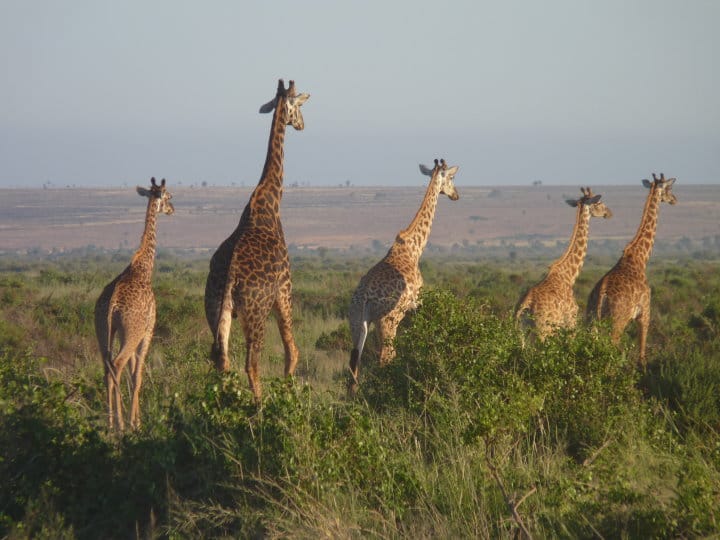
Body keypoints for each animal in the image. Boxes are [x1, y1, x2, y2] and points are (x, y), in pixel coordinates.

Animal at [94, 178, 174, 430]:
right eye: (169, 196)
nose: (172, 209)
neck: (143, 268)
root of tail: (112, 304)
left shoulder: (122, 332)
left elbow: (132, 375)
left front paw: (136, 419)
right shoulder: (147, 330)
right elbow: (137, 375)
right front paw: (135, 422)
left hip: (104, 330)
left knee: (107, 367)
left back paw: (110, 422)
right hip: (132, 330)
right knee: (117, 365)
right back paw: (120, 424)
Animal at [204, 79, 309, 401]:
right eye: (298, 106)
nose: (302, 124)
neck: (269, 203)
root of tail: (230, 278)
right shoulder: (285, 290)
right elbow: (292, 351)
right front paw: (289, 393)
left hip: (215, 310)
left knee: (222, 360)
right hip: (256, 312)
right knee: (252, 363)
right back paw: (260, 405)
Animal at [348, 158, 460, 393]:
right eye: (452, 177)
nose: (456, 195)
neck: (414, 247)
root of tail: (363, 299)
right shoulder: (415, 303)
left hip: (356, 321)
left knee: (354, 364)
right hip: (388, 320)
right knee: (386, 357)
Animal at [515, 187, 612, 340]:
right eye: (599, 203)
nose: (609, 213)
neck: (569, 276)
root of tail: (524, 306)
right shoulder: (571, 322)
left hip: (520, 333)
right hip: (543, 331)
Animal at [586, 173, 677, 365]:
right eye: (668, 188)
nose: (674, 199)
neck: (640, 257)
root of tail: (601, 294)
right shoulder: (645, 313)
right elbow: (642, 352)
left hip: (590, 320)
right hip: (617, 321)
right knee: (612, 347)